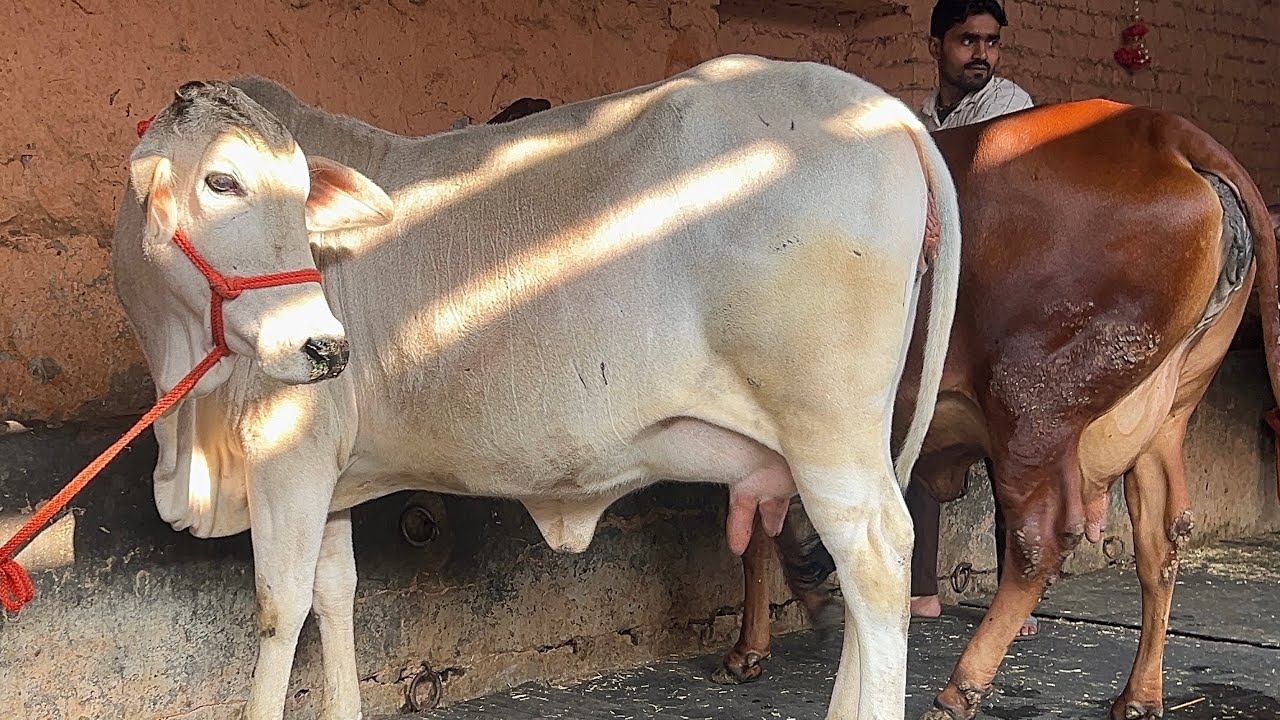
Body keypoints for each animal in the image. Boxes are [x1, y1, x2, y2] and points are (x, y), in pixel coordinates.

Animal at [110, 54, 962, 719]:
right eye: (222, 181)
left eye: (294, 189)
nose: (324, 347)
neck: (189, 413)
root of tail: (882, 108)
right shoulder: (332, 476)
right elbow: (336, 595)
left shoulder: (290, 455)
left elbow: (279, 609)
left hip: (827, 430)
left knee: (878, 560)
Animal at [713, 99, 1280, 720]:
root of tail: (1166, 131)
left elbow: (753, 536)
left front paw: (753, 644)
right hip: (1165, 417)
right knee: (1162, 539)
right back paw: (1139, 694)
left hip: (1031, 408)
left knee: (1039, 542)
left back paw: (958, 690)